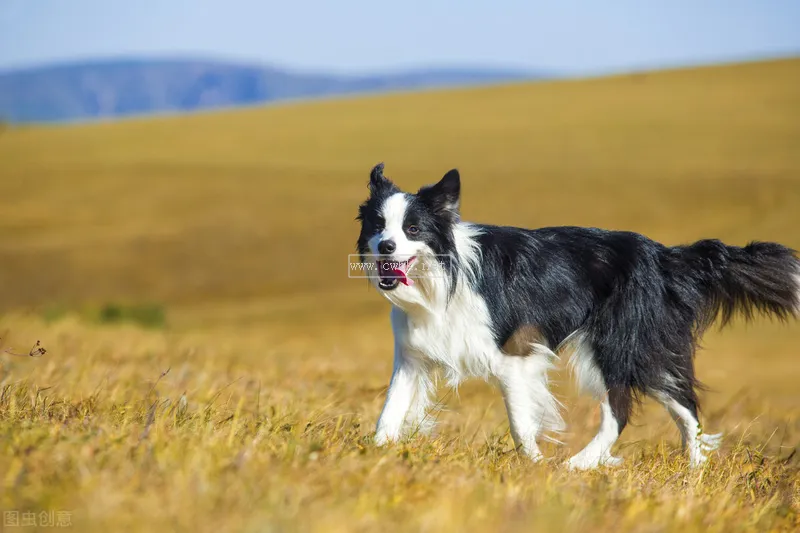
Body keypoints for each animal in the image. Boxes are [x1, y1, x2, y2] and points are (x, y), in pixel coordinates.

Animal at [356, 160, 800, 468]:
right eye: (378, 226)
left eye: (413, 228)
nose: (386, 247)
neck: (440, 279)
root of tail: (663, 255)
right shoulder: (413, 357)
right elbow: (389, 412)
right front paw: (372, 457)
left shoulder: (515, 356)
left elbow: (520, 422)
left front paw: (533, 468)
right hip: (637, 350)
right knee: (679, 404)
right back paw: (692, 472)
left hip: (620, 345)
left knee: (630, 410)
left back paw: (581, 464)